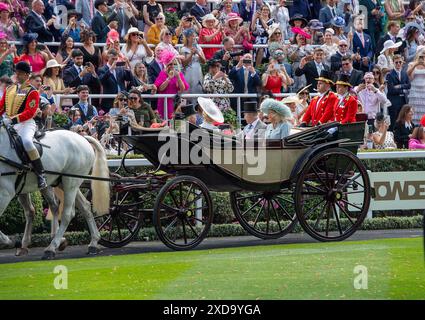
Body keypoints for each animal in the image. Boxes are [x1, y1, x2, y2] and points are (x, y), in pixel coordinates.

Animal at [0, 122, 109, 260]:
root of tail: (82, 137)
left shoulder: (5, 193)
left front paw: (9, 241)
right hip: (63, 183)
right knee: (84, 206)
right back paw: (93, 243)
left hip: (70, 182)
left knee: (68, 213)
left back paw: (51, 247)